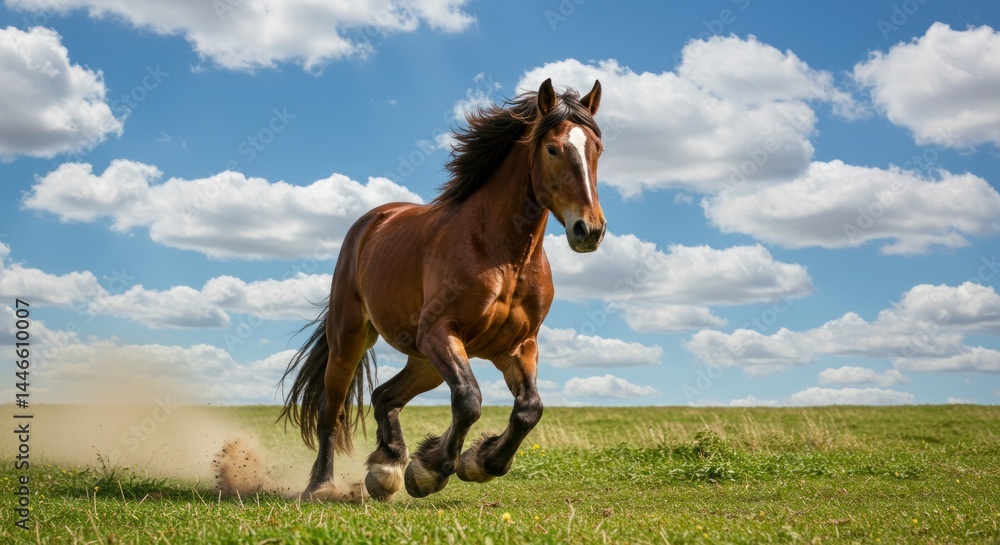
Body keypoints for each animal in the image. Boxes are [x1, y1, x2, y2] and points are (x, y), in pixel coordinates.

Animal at [278, 78, 606, 500]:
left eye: (597, 149)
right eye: (552, 148)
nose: (589, 230)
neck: (504, 255)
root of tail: (372, 222)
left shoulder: (518, 346)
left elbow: (529, 409)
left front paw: (478, 461)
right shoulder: (441, 332)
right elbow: (468, 400)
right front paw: (430, 471)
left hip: (424, 362)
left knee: (385, 396)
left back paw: (385, 469)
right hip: (351, 338)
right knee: (330, 410)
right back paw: (322, 485)